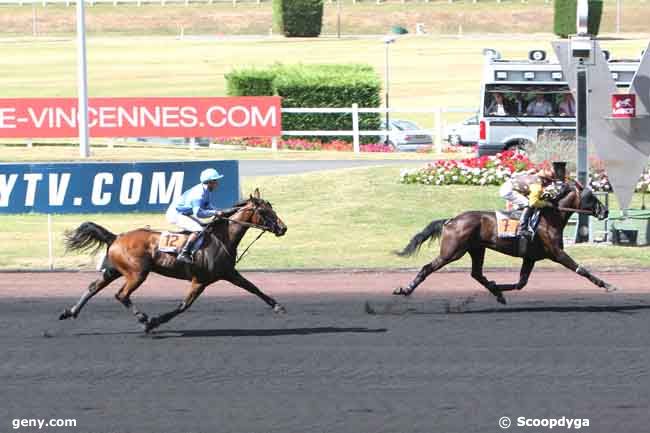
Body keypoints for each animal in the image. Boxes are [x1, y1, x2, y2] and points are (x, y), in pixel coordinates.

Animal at [58, 187, 286, 332]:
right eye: (264, 211)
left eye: (272, 207)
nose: (283, 228)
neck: (222, 238)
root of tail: (115, 237)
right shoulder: (200, 280)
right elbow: (184, 305)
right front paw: (154, 321)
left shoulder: (229, 273)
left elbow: (253, 288)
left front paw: (277, 306)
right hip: (137, 273)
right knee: (121, 295)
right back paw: (143, 318)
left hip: (115, 270)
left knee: (93, 287)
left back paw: (70, 312)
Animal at [392, 181, 616, 302]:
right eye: (590, 196)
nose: (605, 210)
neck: (550, 217)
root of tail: (451, 220)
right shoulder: (557, 253)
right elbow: (581, 270)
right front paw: (607, 285)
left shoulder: (530, 257)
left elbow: (521, 283)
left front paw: (498, 289)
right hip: (452, 252)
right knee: (427, 268)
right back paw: (404, 289)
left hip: (476, 250)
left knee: (476, 274)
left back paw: (495, 292)